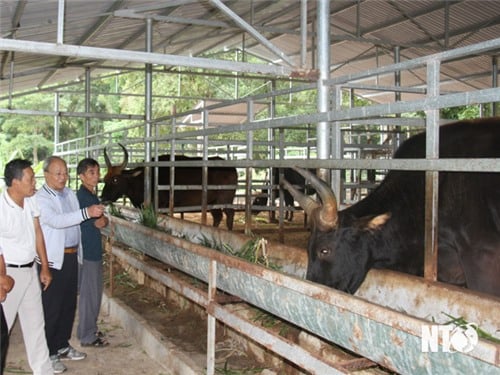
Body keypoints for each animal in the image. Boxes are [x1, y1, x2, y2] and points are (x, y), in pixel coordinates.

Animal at [101, 145, 238, 231]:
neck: (144, 180)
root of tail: (231, 168)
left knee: (230, 214)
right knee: (218, 216)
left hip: (225, 200)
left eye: (115, 179)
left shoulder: (161, 208)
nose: (102, 198)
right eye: (105, 179)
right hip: (212, 203)